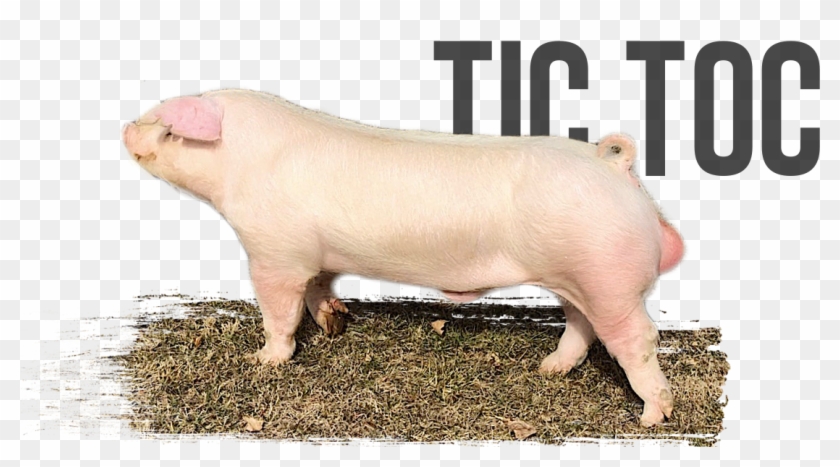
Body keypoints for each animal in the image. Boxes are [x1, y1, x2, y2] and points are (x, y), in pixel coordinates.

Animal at [122, 89, 684, 427]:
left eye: (166, 128)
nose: (125, 129)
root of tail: (612, 166)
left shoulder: (273, 251)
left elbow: (279, 309)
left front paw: (262, 360)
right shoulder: (315, 255)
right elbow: (319, 287)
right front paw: (334, 323)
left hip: (606, 274)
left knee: (637, 338)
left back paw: (652, 416)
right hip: (576, 276)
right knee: (582, 325)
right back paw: (549, 369)